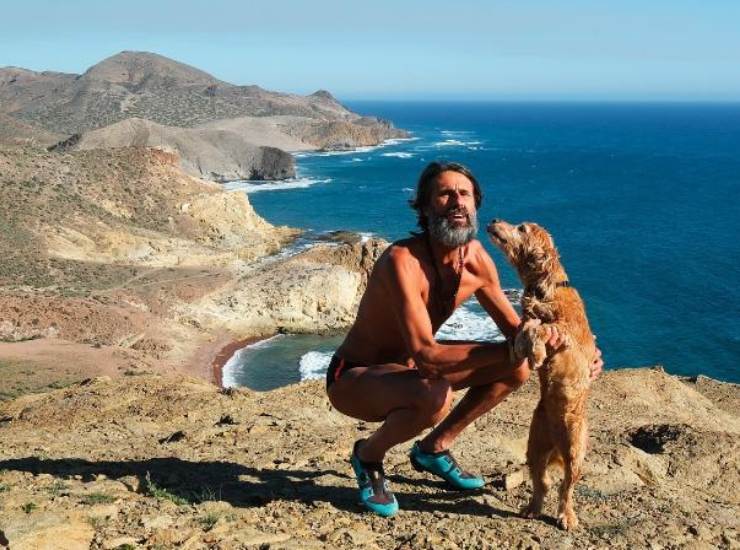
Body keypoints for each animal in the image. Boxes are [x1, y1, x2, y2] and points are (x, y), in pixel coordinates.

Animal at [488, 219, 600, 532]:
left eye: (522, 228)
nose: (494, 221)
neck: (544, 289)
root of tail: (556, 442)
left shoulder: (565, 333)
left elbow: (539, 327)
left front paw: (536, 354)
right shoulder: (529, 319)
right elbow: (527, 328)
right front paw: (525, 350)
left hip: (575, 452)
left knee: (566, 488)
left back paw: (567, 516)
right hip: (534, 447)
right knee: (543, 484)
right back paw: (532, 508)